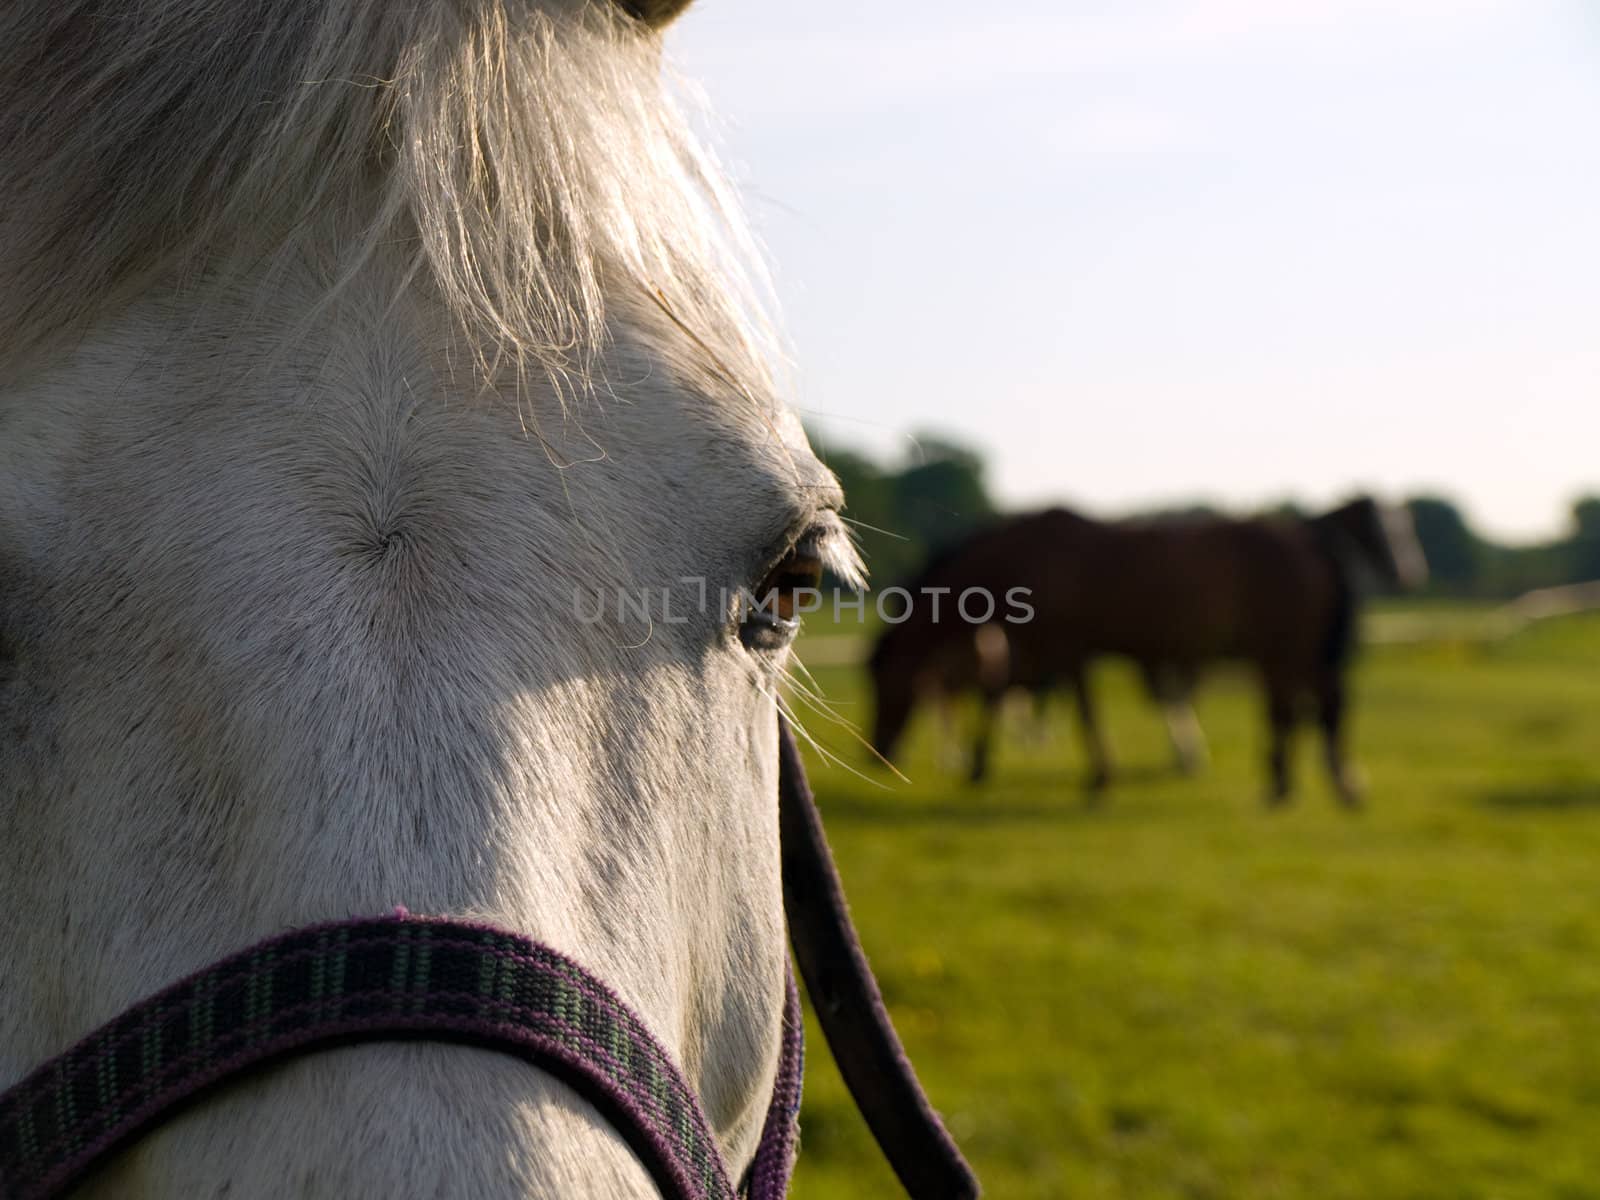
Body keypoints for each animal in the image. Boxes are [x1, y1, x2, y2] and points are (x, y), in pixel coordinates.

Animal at [870, 499, 1433, 809]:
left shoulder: (1061, 650)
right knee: (1303, 710)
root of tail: (1307, 537)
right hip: (1286, 654)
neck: (1024, 559)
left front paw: (1097, 779)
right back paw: (1296, 785)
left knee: (1307, 710)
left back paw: (1302, 787)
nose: (876, 753)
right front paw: (979, 767)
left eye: (881, 683)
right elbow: (1009, 699)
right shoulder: (1041, 653)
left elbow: (1077, 713)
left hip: (1283, 651)